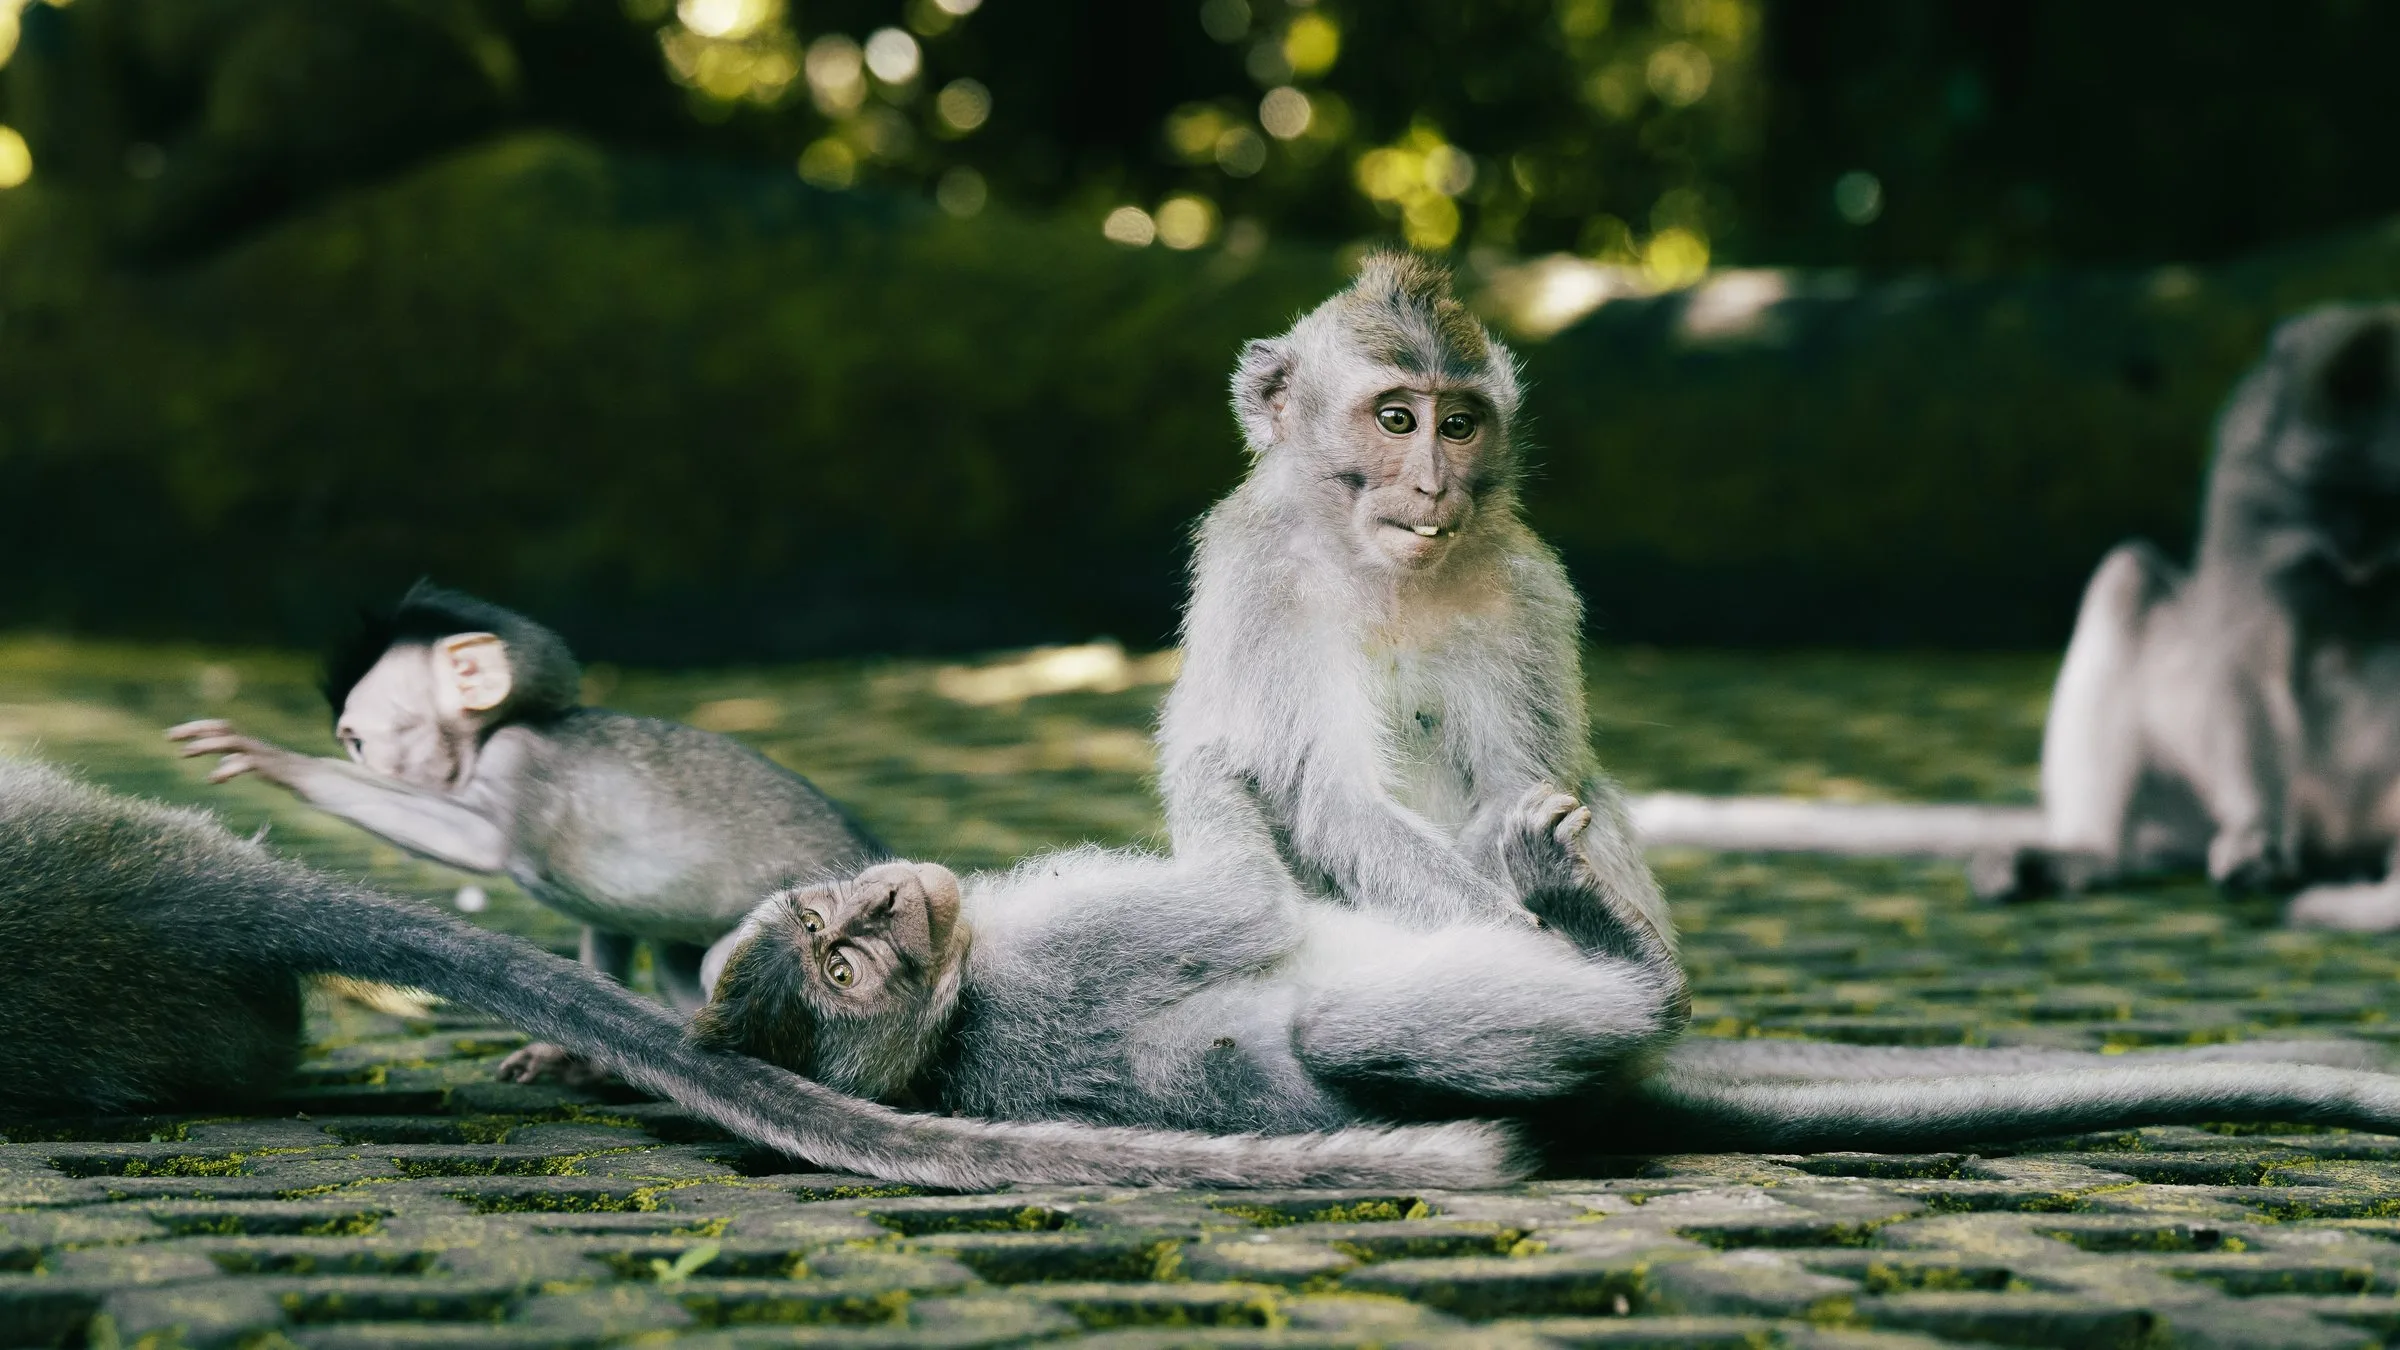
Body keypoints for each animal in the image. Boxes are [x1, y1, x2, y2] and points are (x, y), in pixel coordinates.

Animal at [167, 582, 884, 1083]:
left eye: (357, 743)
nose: (356, 762)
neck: (490, 738)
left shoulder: (518, 761)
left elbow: (480, 845)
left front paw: (281, 763)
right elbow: (609, 929)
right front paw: (578, 1052)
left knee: (722, 963)